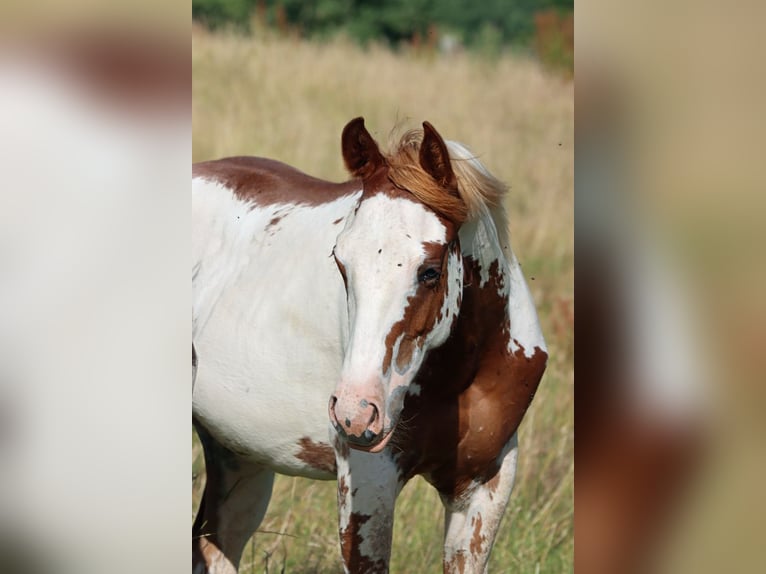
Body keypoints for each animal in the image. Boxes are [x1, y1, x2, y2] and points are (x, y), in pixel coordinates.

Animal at [192, 118, 547, 573]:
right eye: (340, 261)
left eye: (430, 271)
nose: (355, 412)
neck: (460, 374)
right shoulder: (369, 479)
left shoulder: (486, 485)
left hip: (237, 456)